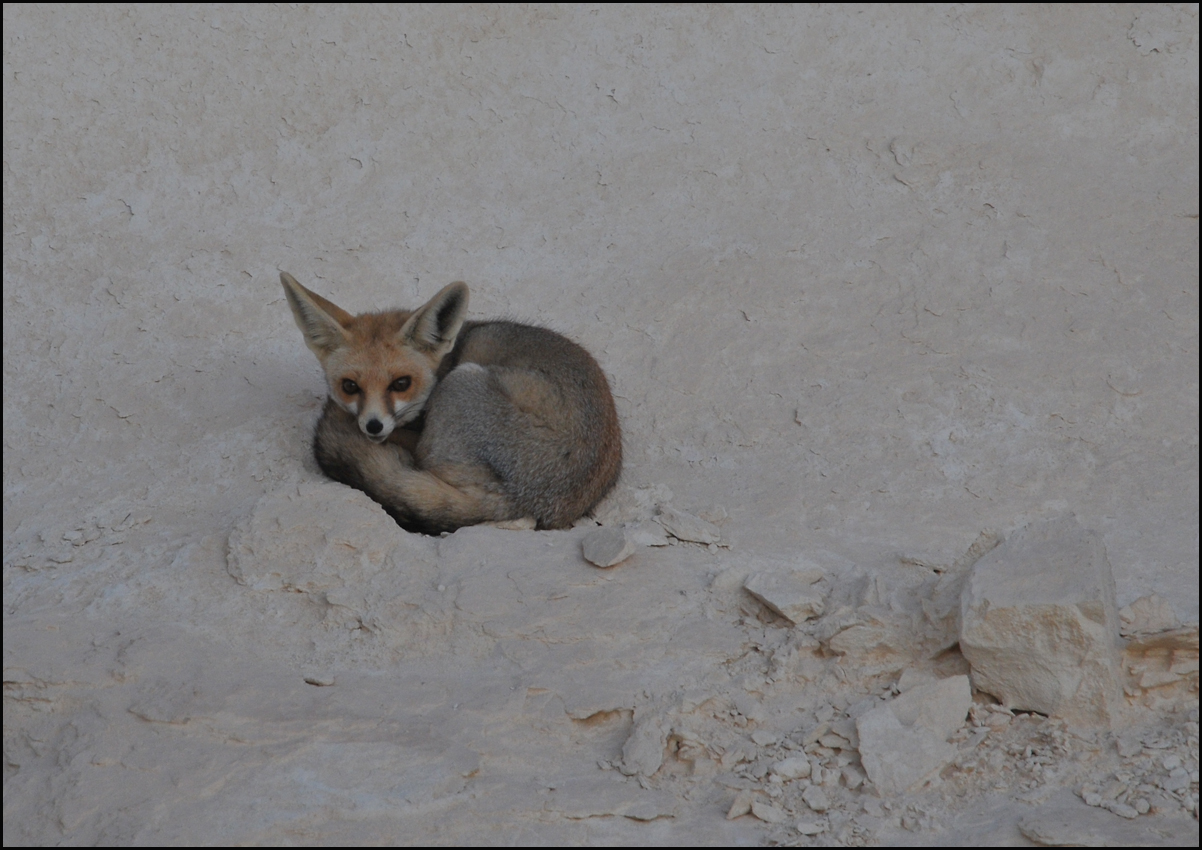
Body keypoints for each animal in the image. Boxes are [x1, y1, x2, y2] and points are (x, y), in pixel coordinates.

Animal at [277, 272, 625, 531]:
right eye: (350, 386)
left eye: (401, 383)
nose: (373, 426)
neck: (446, 359)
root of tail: (523, 502)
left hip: (462, 382)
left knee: (422, 461)